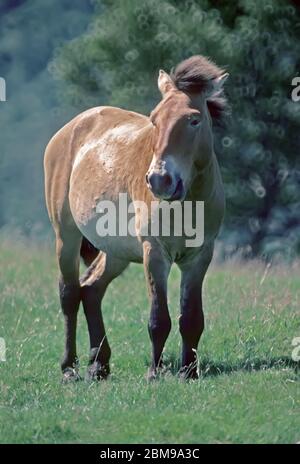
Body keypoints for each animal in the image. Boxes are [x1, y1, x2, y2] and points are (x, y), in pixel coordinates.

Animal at [44, 55, 227, 380]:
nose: (159, 180)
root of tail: (70, 129)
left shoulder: (200, 256)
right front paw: (154, 372)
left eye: (194, 119)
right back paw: (69, 368)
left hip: (115, 251)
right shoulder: (154, 252)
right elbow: (159, 318)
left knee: (91, 290)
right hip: (66, 235)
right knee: (69, 294)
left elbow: (191, 317)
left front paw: (189, 372)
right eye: (154, 119)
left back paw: (99, 365)